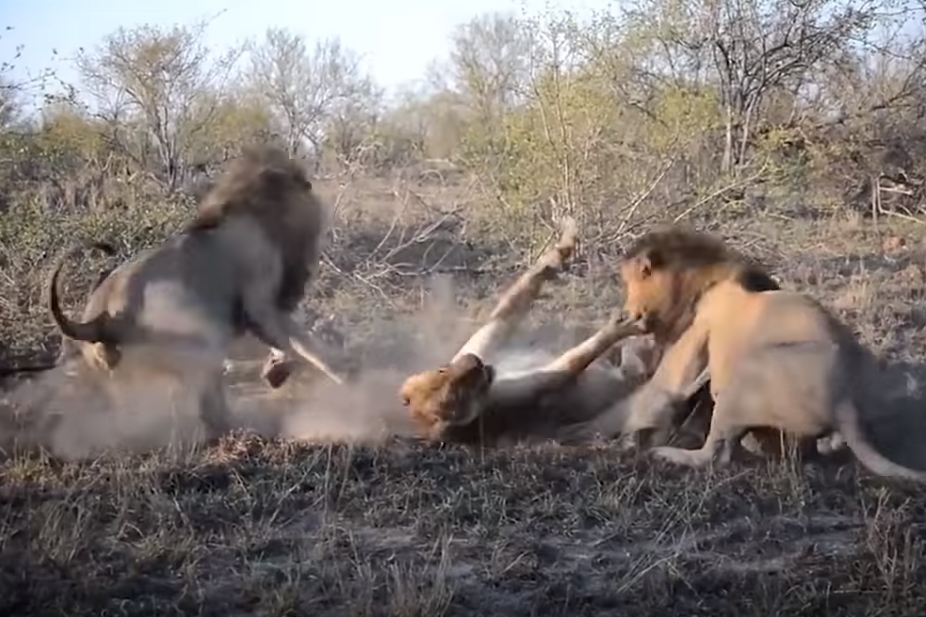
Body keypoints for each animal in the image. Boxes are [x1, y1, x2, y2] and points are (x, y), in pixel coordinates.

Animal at [45, 144, 346, 439]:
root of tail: (103, 318)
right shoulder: (261, 305)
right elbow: (303, 346)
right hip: (202, 335)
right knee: (210, 408)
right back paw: (247, 429)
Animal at [397, 217, 710, 446]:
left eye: (442, 371)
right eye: (455, 397)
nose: (476, 363)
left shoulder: (473, 347)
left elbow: (504, 315)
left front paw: (557, 253)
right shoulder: (531, 388)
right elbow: (575, 359)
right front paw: (625, 324)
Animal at [566, 226, 926, 482]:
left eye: (629, 282)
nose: (626, 312)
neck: (701, 282)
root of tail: (845, 403)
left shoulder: (692, 341)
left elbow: (657, 392)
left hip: (747, 374)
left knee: (714, 456)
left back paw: (667, 454)